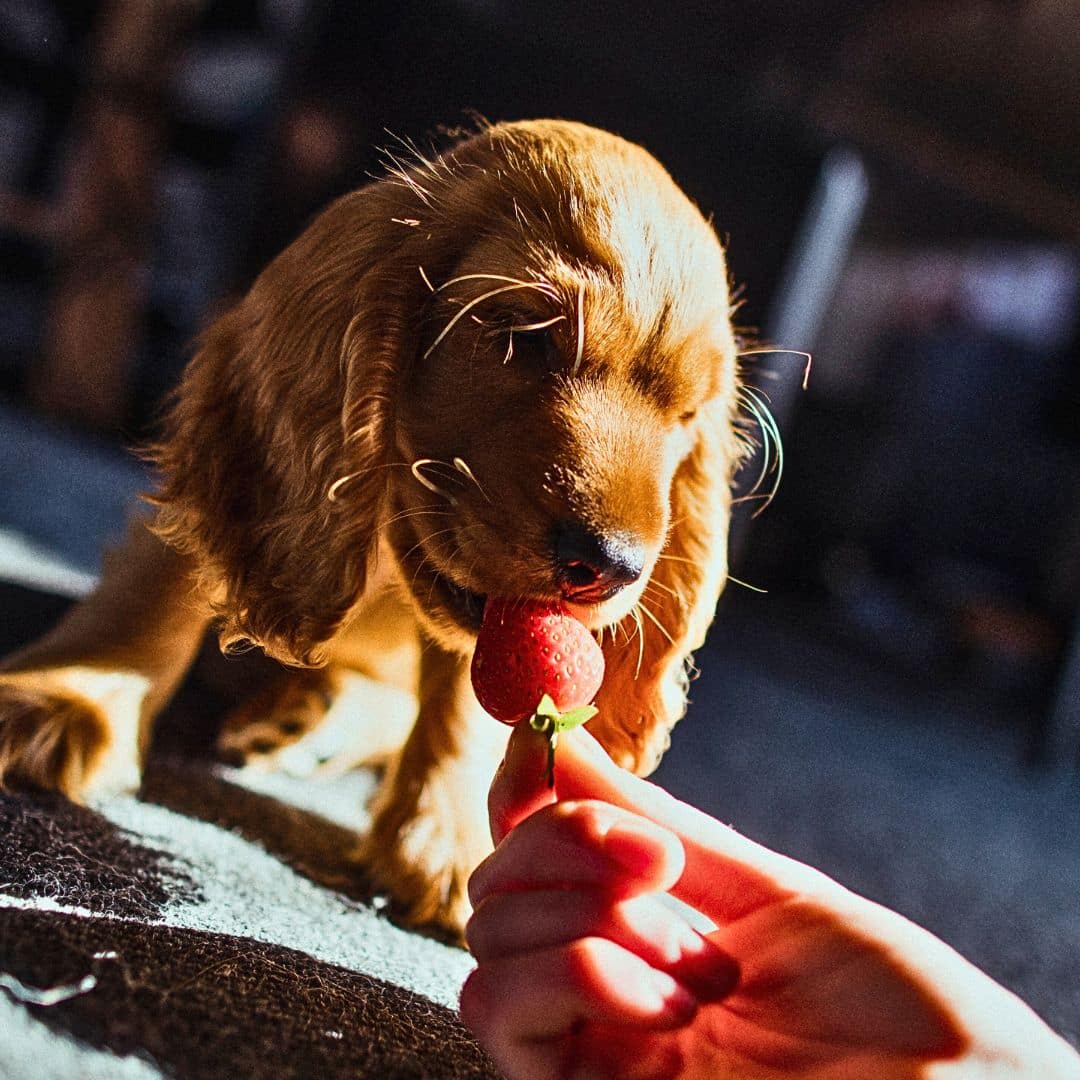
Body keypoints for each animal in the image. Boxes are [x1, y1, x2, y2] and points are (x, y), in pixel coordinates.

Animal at [0, 122, 747, 937]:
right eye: (525, 337)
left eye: (687, 414)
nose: (612, 566)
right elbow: (159, 582)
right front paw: (64, 700)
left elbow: (466, 696)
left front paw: (444, 840)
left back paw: (309, 720)